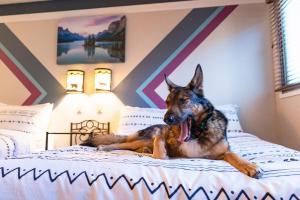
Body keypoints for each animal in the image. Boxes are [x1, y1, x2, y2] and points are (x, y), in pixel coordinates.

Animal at [88, 65, 262, 177]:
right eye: (167, 102)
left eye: (183, 100)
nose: (166, 119)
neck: (196, 134)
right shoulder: (162, 139)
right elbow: (160, 149)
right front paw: (161, 146)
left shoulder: (221, 153)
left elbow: (233, 155)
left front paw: (249, 165)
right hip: (141, 139)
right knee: (122, 143)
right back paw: (105, 147)